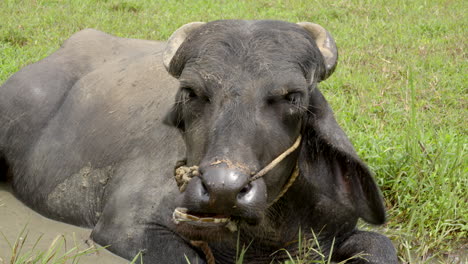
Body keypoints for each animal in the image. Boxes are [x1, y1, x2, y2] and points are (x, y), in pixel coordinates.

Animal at [0, 19, 396, 262]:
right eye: (191, 92)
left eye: (293, 96)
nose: (223, 188)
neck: (259, 235)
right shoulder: (126, 229)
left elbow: (381, 245)